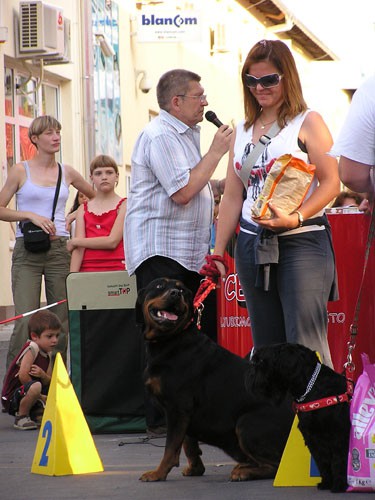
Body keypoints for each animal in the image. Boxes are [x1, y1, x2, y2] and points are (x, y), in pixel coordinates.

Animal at [135, 280, 294, 482]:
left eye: (182, 290)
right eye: (158, 286)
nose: (175, 294)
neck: (170, 340)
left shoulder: (177, 408)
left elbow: (171, 447)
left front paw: (158, 473)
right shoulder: (185, 413)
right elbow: (188, 443)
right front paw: (195, 468)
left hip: (245, 423)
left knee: (278, 465)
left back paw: (244, 472)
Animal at [248, 344, 354, 492]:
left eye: (262, 361)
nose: (250, 375)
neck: (313, 388)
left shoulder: (338, 436)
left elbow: (339, 460)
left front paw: (339, 485)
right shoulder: (313, 438)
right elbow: (323, 462)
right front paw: (326, 482)